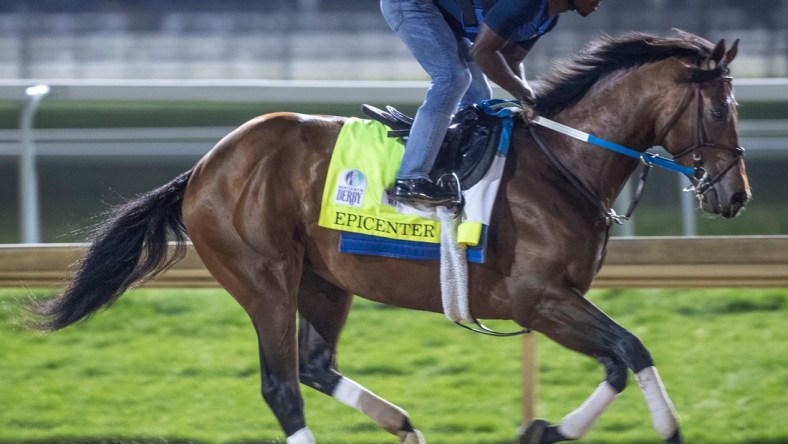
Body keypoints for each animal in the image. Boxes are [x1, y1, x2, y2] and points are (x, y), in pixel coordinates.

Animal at [32, 32, 752, 444]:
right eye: (722, 108)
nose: (735, 193)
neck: (563, 162)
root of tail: (206, 166)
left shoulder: (558, 301)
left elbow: (619, 360)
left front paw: (546, 428)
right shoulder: (537, 298)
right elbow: (631, 349)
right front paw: (661, 429)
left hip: (325, 281)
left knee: (315, 366)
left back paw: (403, 427)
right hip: (263, 277)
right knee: (283, 387)